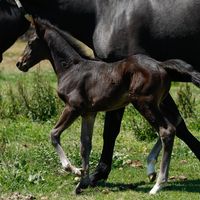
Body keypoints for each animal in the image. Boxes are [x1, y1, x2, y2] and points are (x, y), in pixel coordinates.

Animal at [0, 0, 200, 191]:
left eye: (30, 42)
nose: (20, 63)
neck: (72, 68)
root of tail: (162, 65)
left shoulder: (72, 107)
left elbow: (54, 134)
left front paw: (73, 170)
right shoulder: (89, 112)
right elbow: (85, 145)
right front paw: (82, 182)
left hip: (144, 103)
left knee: (166, 130)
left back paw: (157, 184)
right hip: (155, 103)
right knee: (173, 125)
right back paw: (152, 171)